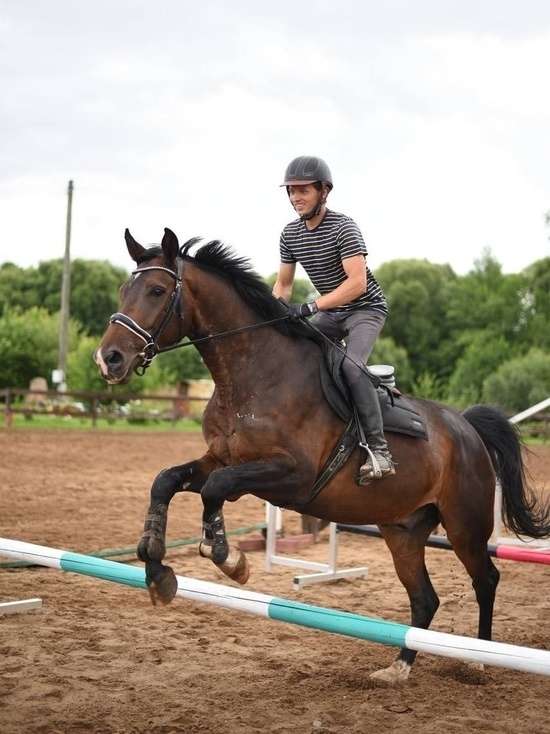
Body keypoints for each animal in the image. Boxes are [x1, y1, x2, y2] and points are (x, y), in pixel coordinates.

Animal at [95, 229, 550, 684]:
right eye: (122, 291)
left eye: (157, 290)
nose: (109, 359)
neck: (251, 374)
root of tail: (467, 428)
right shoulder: (221, 459)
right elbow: (167, 480)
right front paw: (156, 569)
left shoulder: (290, 476)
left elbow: (216, 490)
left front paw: (229, 559)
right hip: (403, 530)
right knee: (425, 598)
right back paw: (399, 667)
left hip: (464, 526)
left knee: (486, 579)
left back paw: (480, 658)